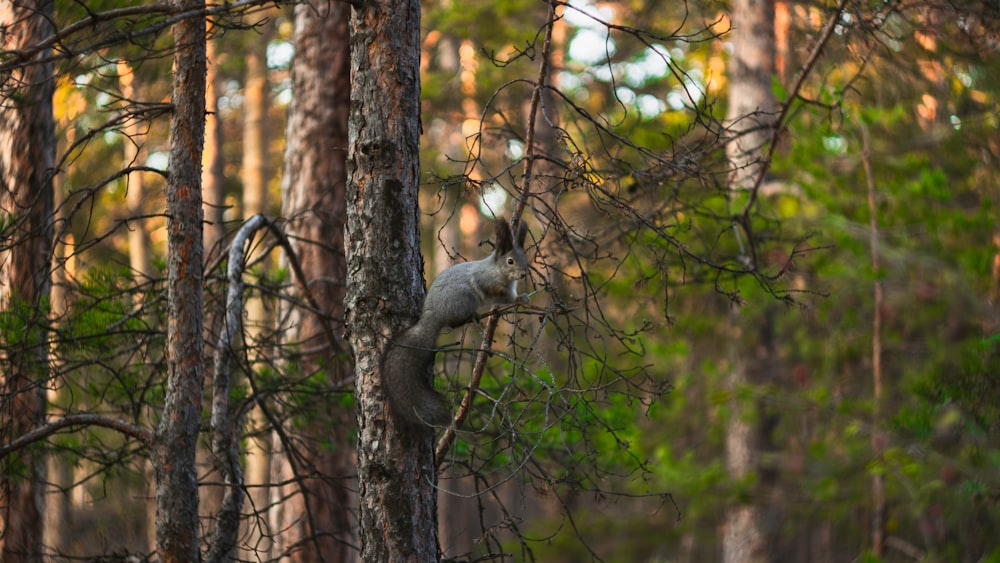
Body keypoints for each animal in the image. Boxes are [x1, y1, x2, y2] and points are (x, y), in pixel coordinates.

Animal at [380, 217, 532, 428]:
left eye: (525, 259)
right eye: (510, 261)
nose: (524, 274)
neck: (498, 271)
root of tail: (433, 314)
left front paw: (522, 299)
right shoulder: (486, 281)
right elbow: (496, 294)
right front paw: (514, 299)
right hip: (464, 299)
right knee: (455, 322)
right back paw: (473, 316)